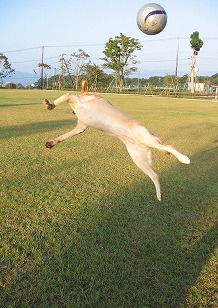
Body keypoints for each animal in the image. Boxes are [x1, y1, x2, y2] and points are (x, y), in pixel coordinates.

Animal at [43, 79, 190, 201]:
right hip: (139, 160)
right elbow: (63, 136)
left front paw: (49, 105)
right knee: (155, 176)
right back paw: (159, 194)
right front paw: (51, 143)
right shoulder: (81, 127)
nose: (72, 112)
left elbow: (64, 96)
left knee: (169, 147)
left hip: (147, 139)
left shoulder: (73, 99)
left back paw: (184, 159)